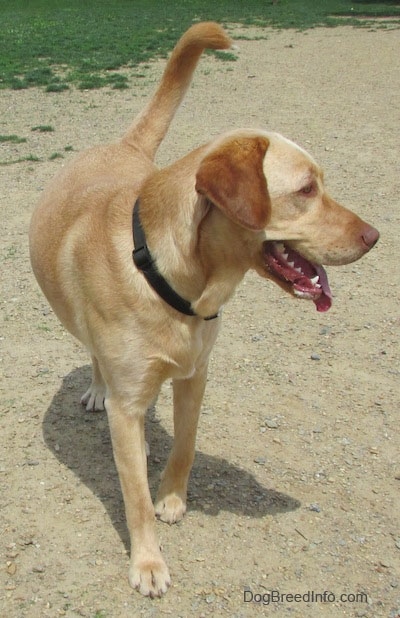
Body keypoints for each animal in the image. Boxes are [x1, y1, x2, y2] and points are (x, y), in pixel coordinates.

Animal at [28, 21, 378, 596]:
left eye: (320, 184)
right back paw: (102, 393)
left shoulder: (197, 375)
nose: (375, 236)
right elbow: (133, 497)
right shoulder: (131, 396)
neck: (176, 281)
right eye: (306, 189)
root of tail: (120, 145)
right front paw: (148, 562)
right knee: (98, 362)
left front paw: (171, 497)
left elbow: (186, 445)